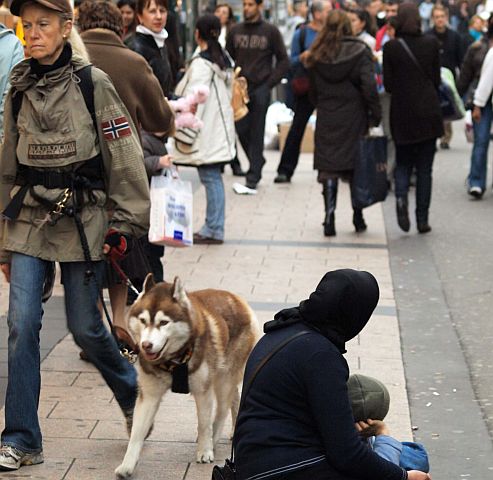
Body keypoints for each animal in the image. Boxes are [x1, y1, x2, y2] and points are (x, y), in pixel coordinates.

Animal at [115, 276, 260, 478]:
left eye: (163, 322)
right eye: (143, 320)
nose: (146, 345)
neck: (173, 362)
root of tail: (238, 299)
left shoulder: (203, 391)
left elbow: (204, 423)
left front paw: (205, 450)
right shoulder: (149, 395)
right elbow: (137, 432)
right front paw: (127, 465)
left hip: (224, 378)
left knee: (222, 410)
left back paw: (214, 439)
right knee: (235, 397)